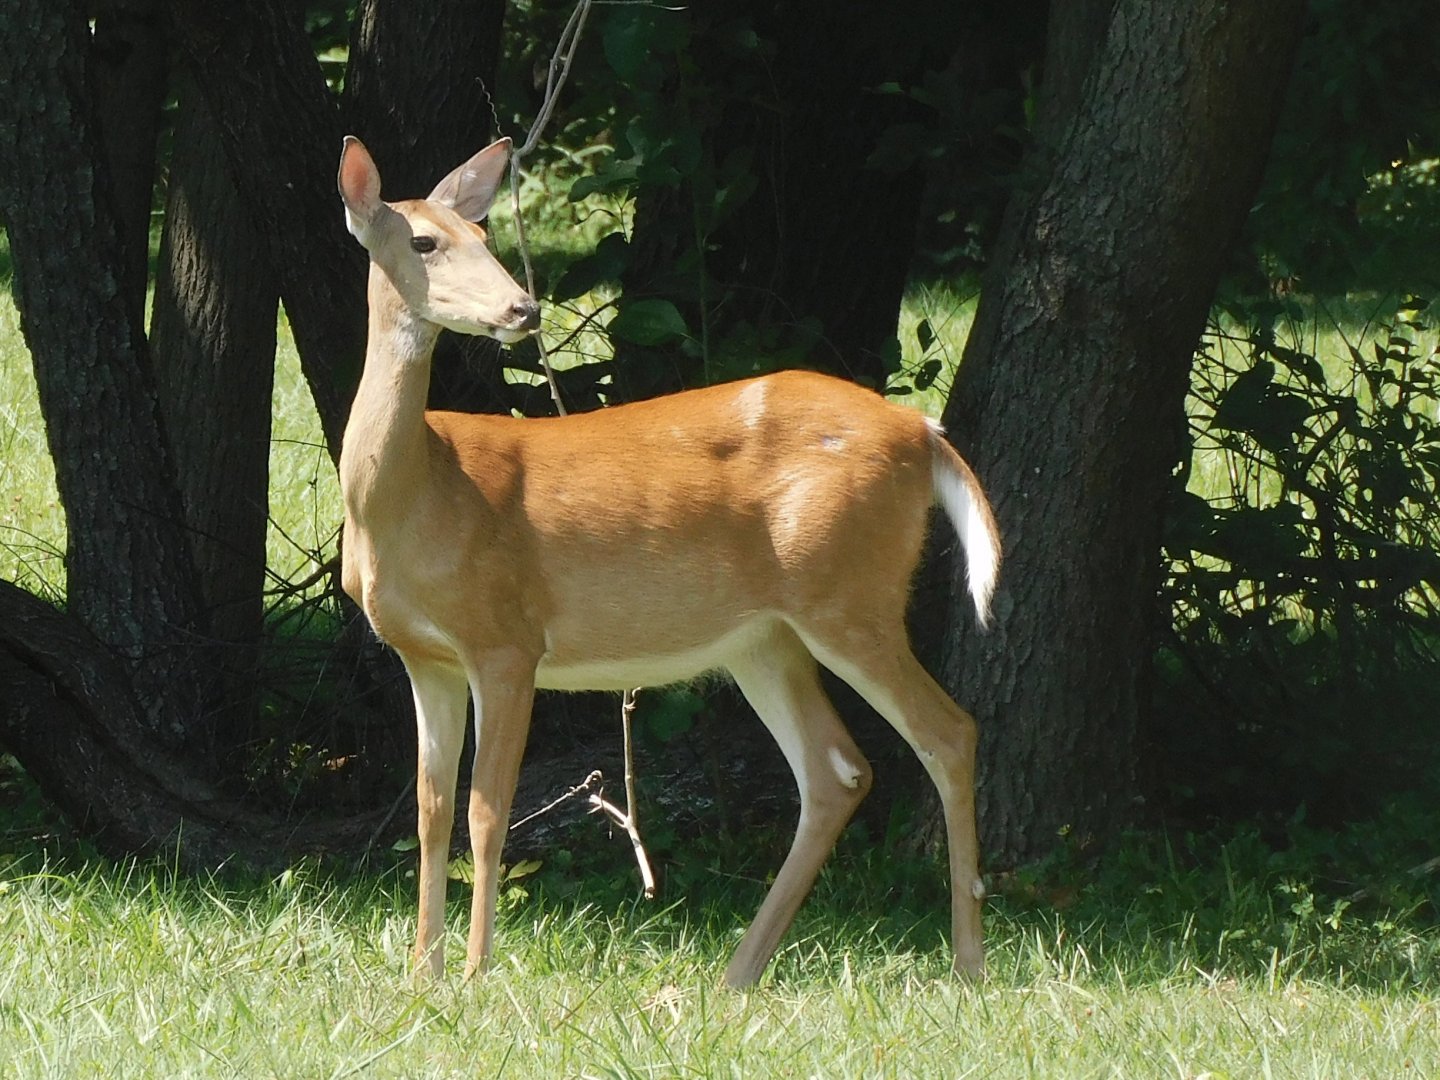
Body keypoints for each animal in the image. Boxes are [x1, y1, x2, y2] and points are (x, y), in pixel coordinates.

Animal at [336, 134, 1001, 989]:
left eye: (483, 235)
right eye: (423, 241)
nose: (523, 309)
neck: (416, 494)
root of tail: (923, 431)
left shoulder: (508, 639)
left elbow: (488, 810)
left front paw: (476, 973)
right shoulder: (426, 657)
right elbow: (431, 810)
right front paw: (423, 973)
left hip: (850, 594)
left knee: (947, 733)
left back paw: (968, 964)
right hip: (766, 636)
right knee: (837, 771)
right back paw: (738, 973)